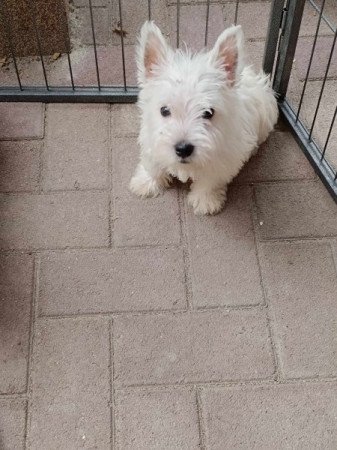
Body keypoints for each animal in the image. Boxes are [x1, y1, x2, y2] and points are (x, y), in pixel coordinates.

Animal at [129, 22, 276, 215]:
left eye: (208, 113)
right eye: (164, 110)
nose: (183, 149)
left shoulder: (223, 157)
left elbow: (210, 180)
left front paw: (206, 200)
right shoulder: (151, 139)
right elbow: (152, 164)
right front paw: (146, 182)